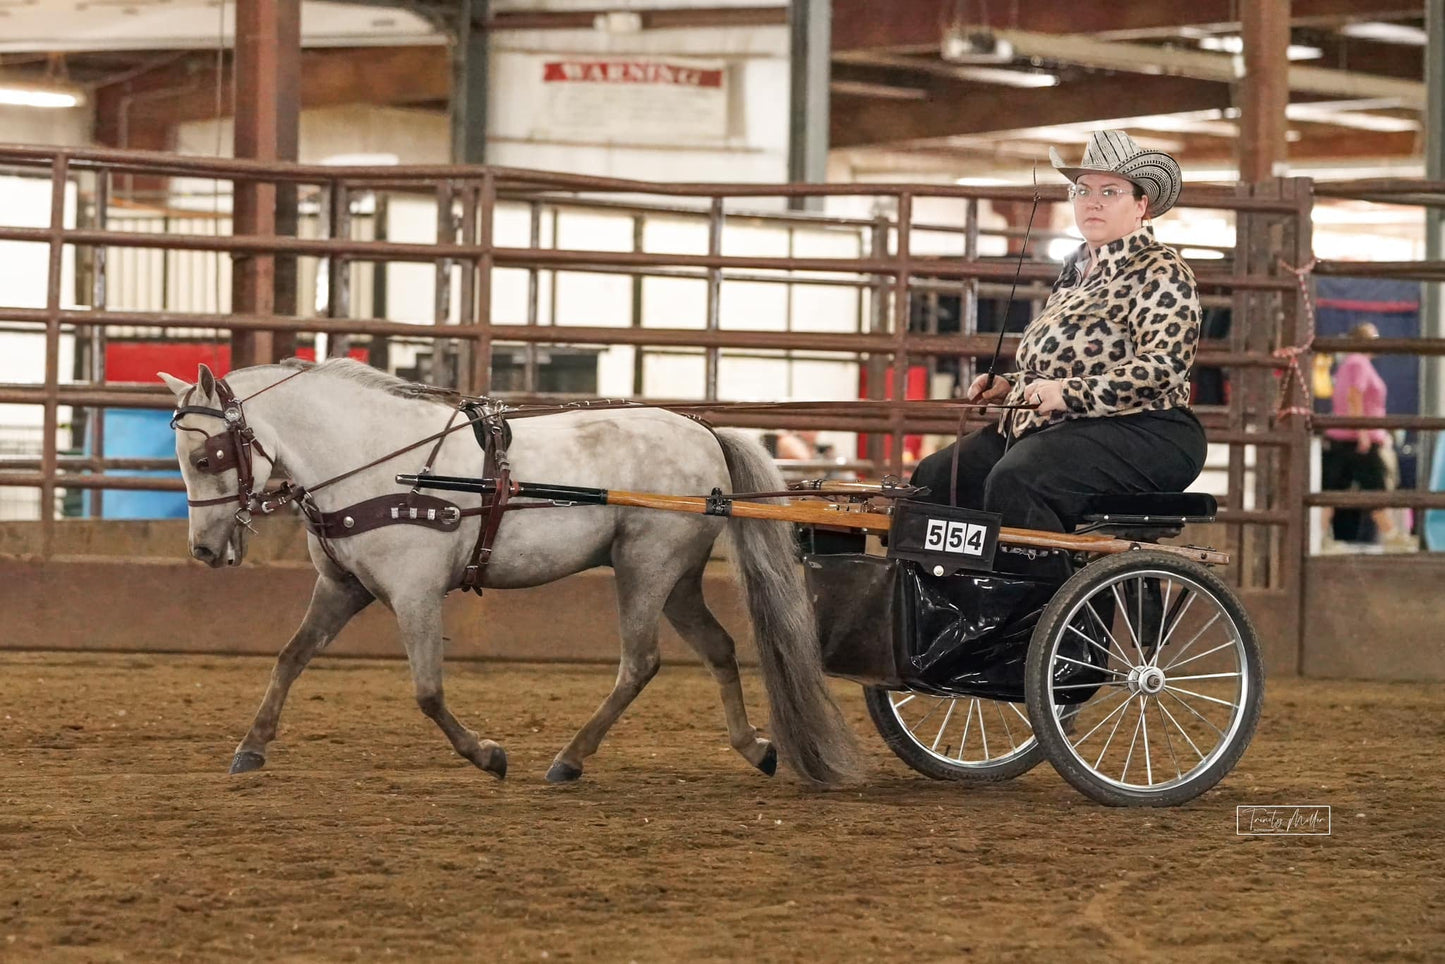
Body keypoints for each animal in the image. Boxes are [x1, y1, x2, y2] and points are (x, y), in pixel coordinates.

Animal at [158, 358, 855, 786]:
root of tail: (704, 430)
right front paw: (251, 746)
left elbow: (427, 692)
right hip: (676, 578)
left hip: (645, 566)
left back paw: (569, 759)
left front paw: (488, 755)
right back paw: (756, 748)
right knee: (718, 648)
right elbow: (290, 657)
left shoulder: (415, 594)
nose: (203, 550)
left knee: (641, 663)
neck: (377, 461)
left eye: (205, 455)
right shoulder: (343, 588)